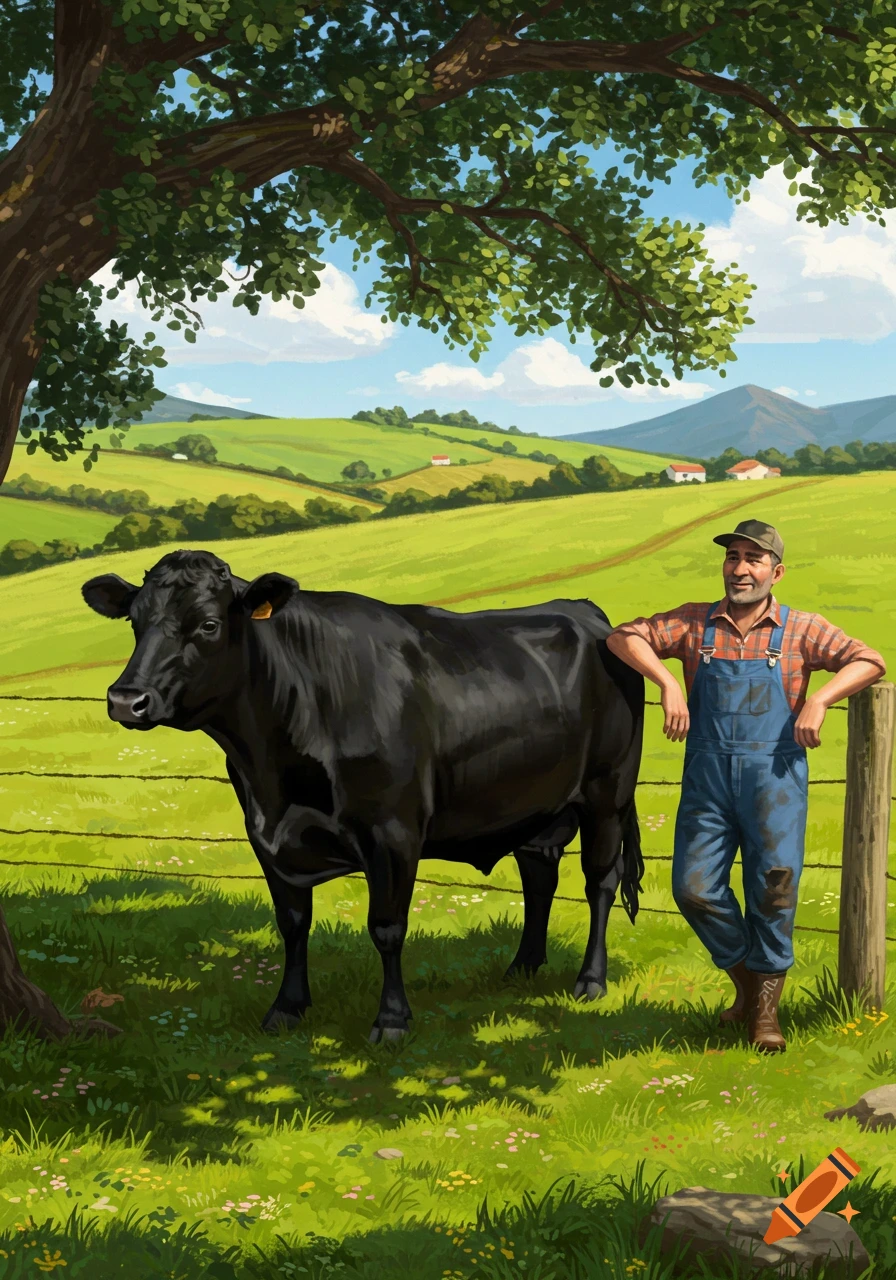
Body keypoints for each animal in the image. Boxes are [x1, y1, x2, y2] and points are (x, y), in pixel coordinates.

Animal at [82, 549, 645, 1043]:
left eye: (207, 625)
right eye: (135, 622)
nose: (125, 699)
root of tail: (585, 612)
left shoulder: (392, 833)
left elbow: (387, 927)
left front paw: (392, 1020)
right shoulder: (266, 835)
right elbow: (292, 924)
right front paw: (286, 1009)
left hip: (608, 792)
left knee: (600, 881)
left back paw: (590, 980)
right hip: (534, 805)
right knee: (539, 876)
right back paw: (522, 967)